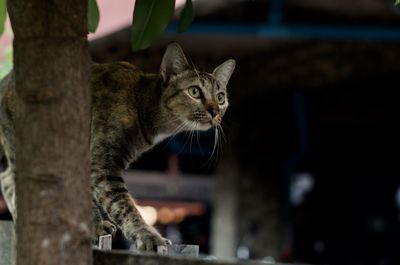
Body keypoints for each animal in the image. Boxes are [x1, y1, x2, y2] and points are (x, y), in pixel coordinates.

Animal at [0, 42, 236, 250]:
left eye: (221, 97)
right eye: (194, 91)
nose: (215, 111)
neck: (142, 103)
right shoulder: (102, 165)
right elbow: (123, 205)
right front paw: (148, 236)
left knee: (7, 179)